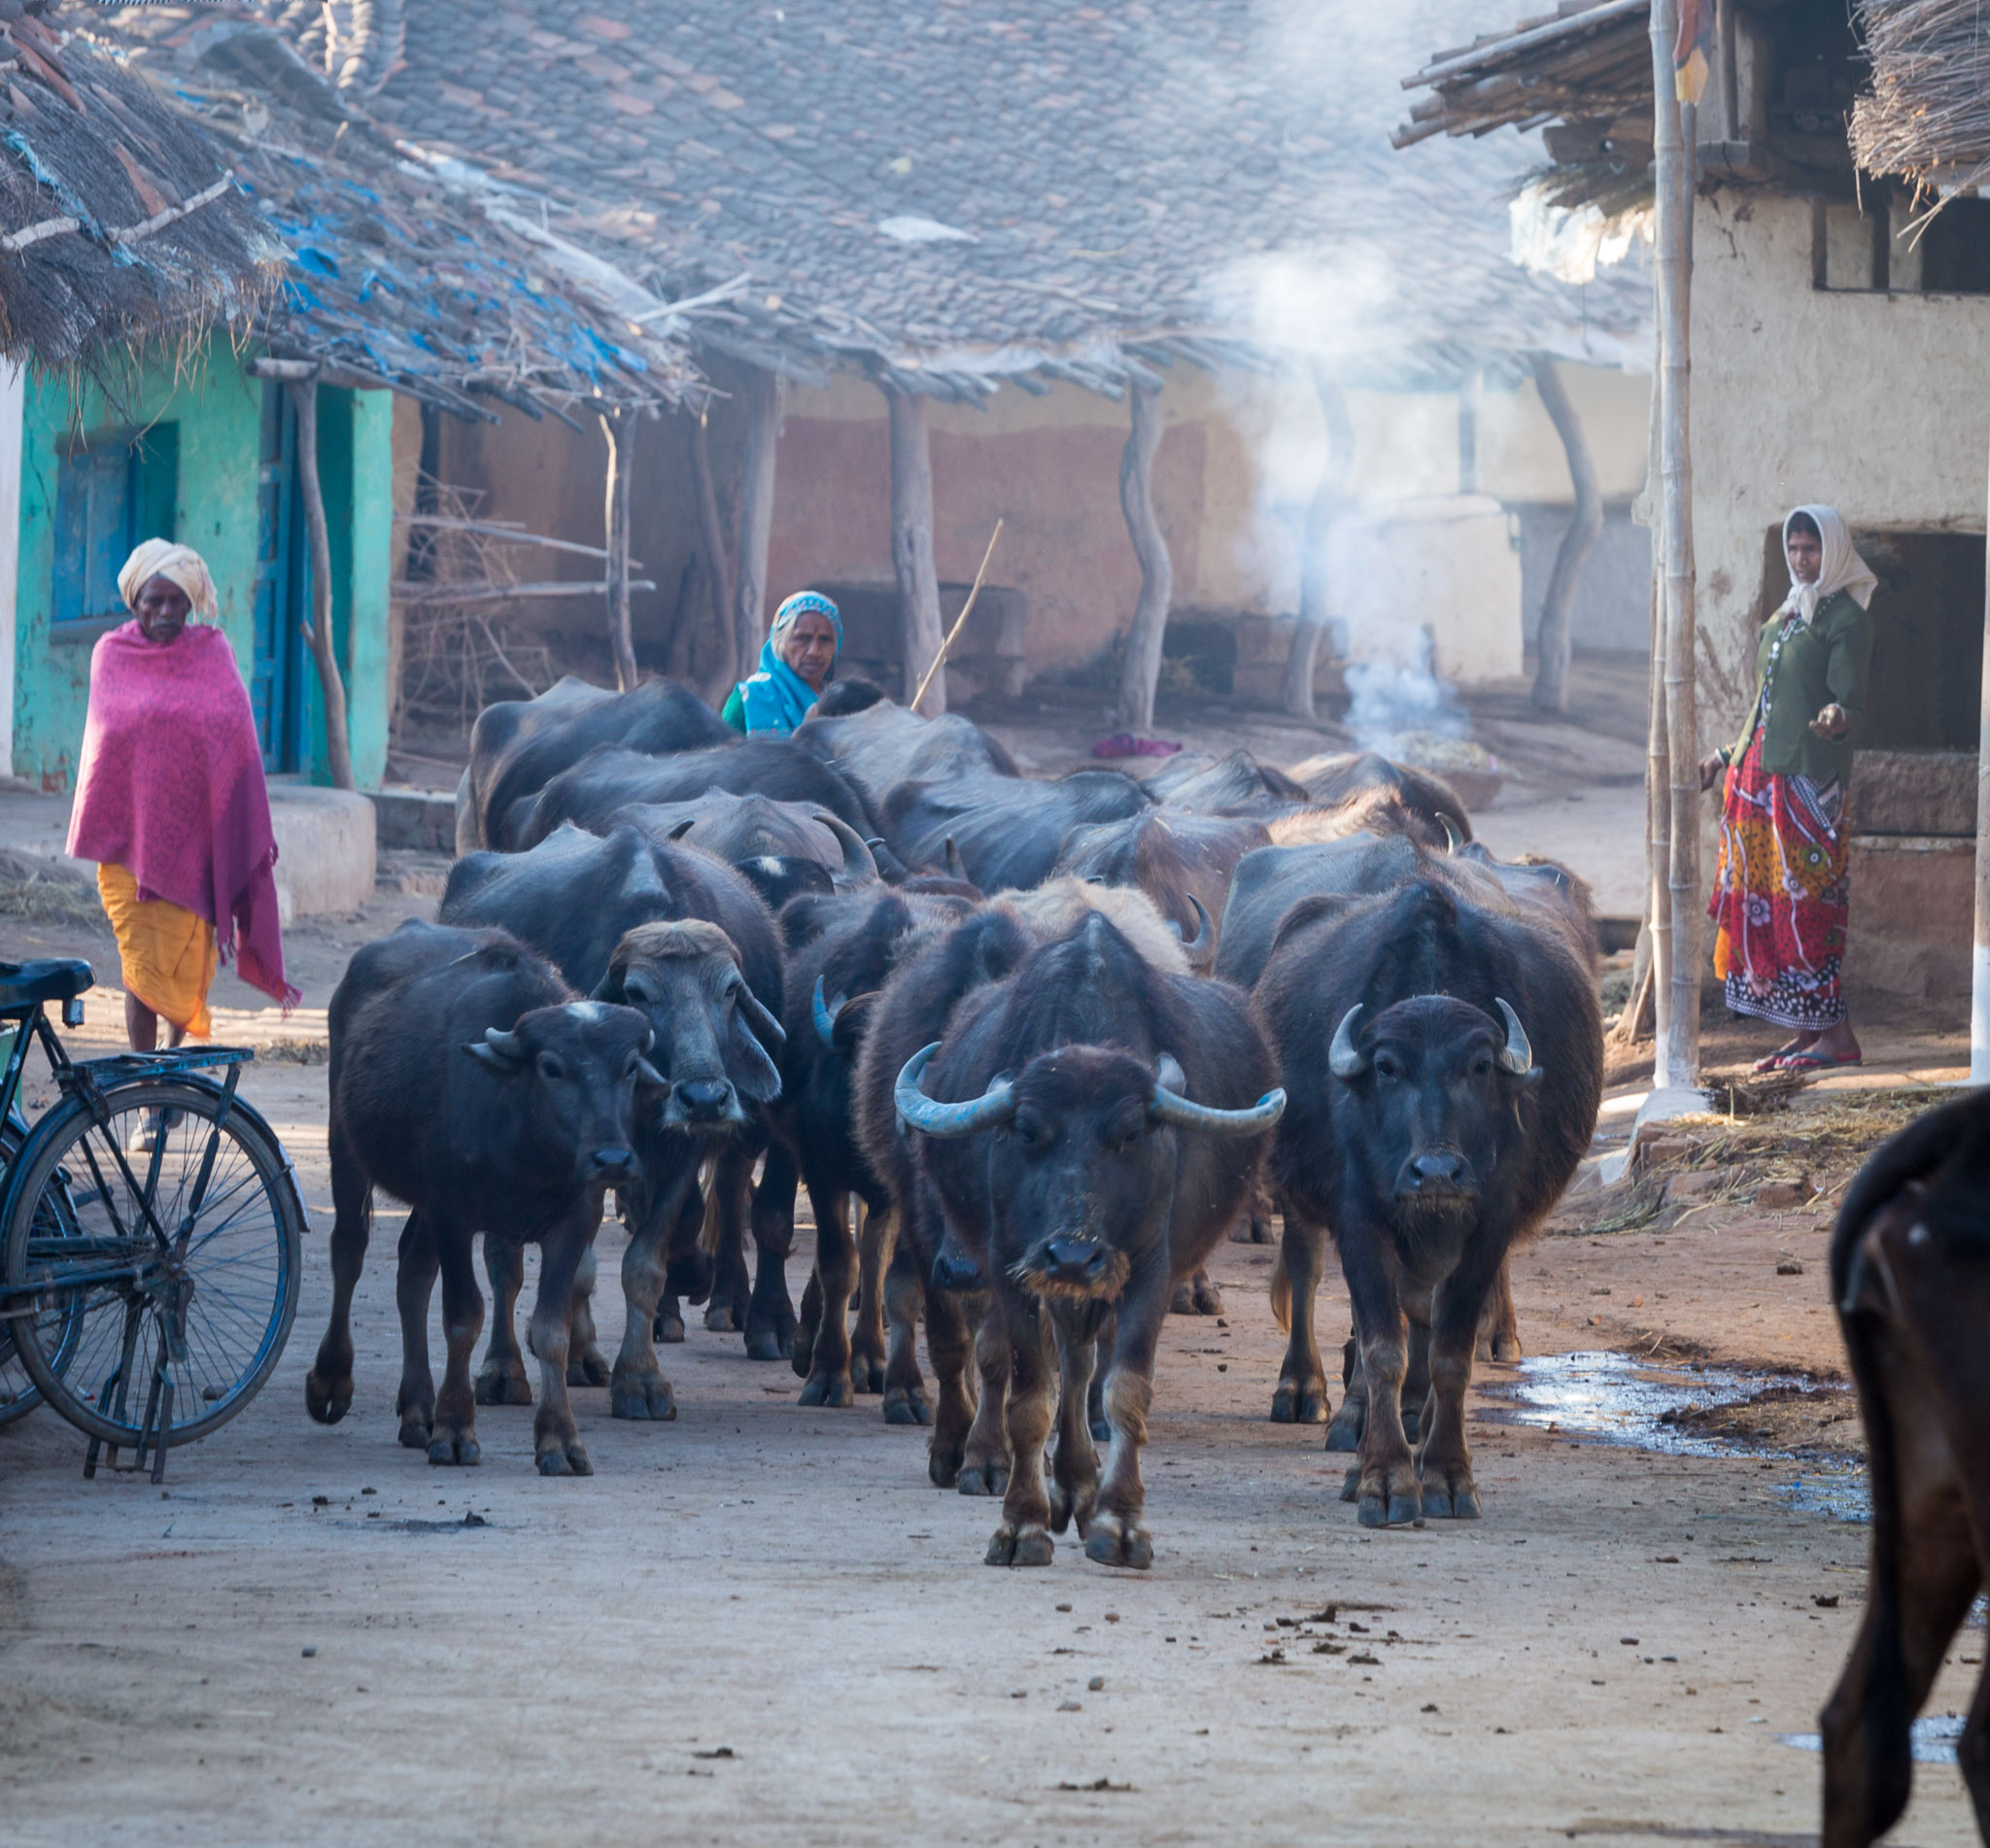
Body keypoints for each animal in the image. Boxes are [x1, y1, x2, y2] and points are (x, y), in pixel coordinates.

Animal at [304, 922, 644, 1472]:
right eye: (552, 1067)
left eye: (630, 1066)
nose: (612, 1159)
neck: (528, 1146)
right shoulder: (453, 1213)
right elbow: (464, 1316)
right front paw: (456, 1428)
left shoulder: (577, 1220)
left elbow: (552, 1329)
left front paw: (560, 1440)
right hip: (346, 1146)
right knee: (349, 1251)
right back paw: (332, 1382)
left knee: (412, 1272)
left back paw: (417, 1409)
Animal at [887, 907, 1273, 1575]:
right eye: (1026, 1130)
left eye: (1131, 1133)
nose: (1072, 1255)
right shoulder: (1010, 1267)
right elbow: (1031, 1398)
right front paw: (1024, 1524)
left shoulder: (1149, 1269)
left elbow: (1125, 1392)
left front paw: (1119, 1523)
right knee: (1068, 1362)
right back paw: (1069, 1486)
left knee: (1083, 1361)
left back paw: (1083, 1489)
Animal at [1257, 859, 1599, 1520]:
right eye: (1387, 1067)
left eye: (1481, 1066)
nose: (1436, 1173)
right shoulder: (1360, 1219)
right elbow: (1381, 1349)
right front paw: (1382, 1476)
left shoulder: (1488, 1224)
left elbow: (1450, 1353)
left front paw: (1444, 1474)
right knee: (1311, 1272)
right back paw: (1313, 1396)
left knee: (1424, 1311)